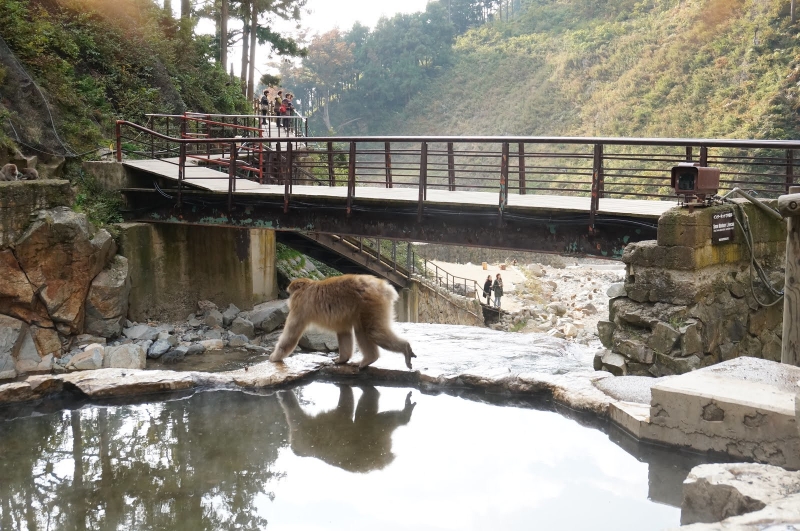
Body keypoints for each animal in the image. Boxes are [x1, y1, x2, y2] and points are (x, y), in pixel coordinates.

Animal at [269, 274, 416, 369]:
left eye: (290, 293)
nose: (287, 298)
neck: (306, 287)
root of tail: (384, 287)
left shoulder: (300, 307)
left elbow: (291, 336)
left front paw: (274, 357)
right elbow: (344, 331)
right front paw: (342, 359)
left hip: (370, 303)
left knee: (373, 331)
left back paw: (405, 348)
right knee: (361, 329)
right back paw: (370, 359)